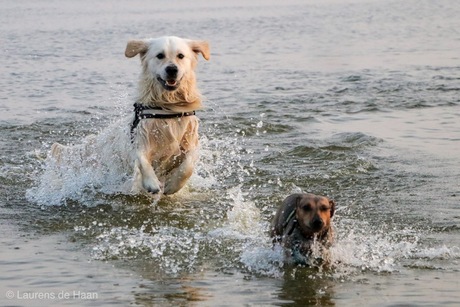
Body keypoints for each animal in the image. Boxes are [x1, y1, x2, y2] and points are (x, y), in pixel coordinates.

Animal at [51, 36, 208, 195]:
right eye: (160, 55)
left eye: (180, 56)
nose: (172, 69)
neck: (167, 106)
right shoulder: (141, 138)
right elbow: (142, 159)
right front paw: (152, 183)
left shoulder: (190, 141)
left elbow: (188, 165)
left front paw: (172, 186)